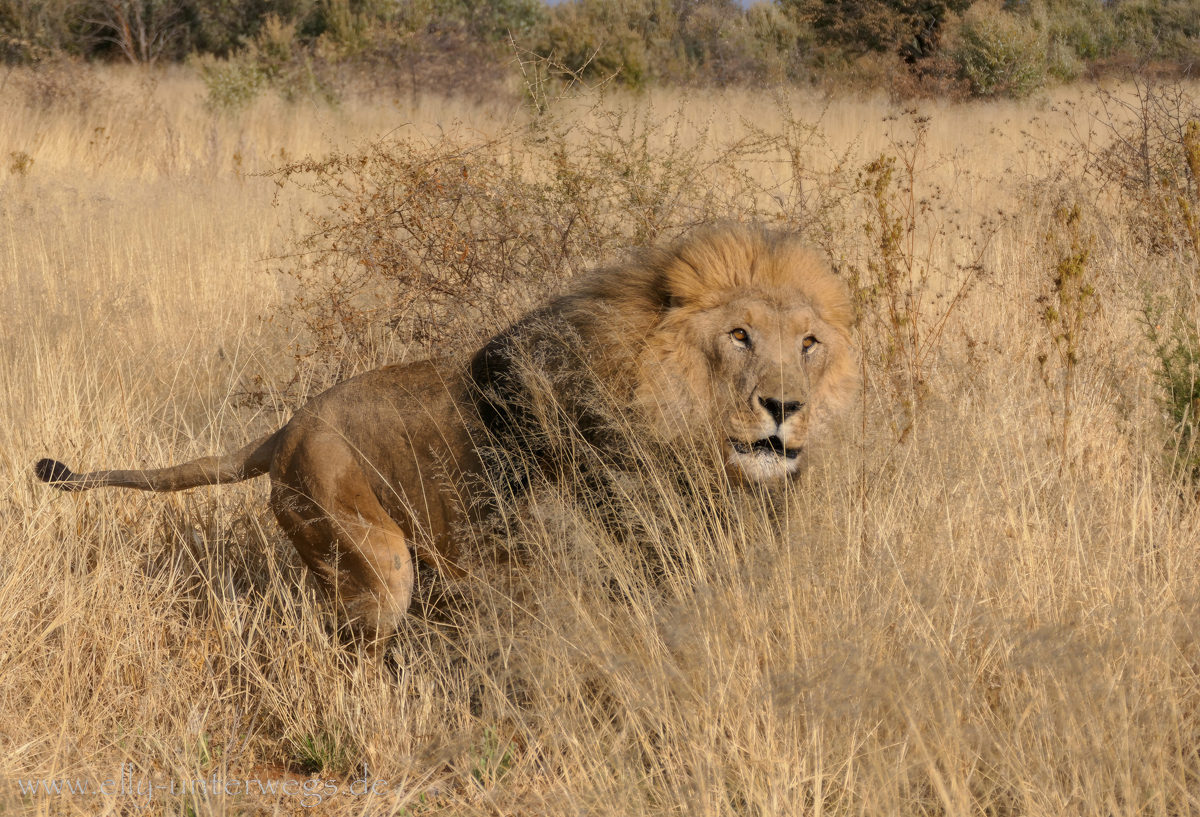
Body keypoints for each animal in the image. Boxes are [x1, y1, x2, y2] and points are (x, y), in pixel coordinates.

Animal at [32, 224, 859, 643]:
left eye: (809, 343)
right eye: (739, 335)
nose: (785, 405)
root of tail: (285, 427)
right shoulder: (558, 562)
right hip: (371, 553)